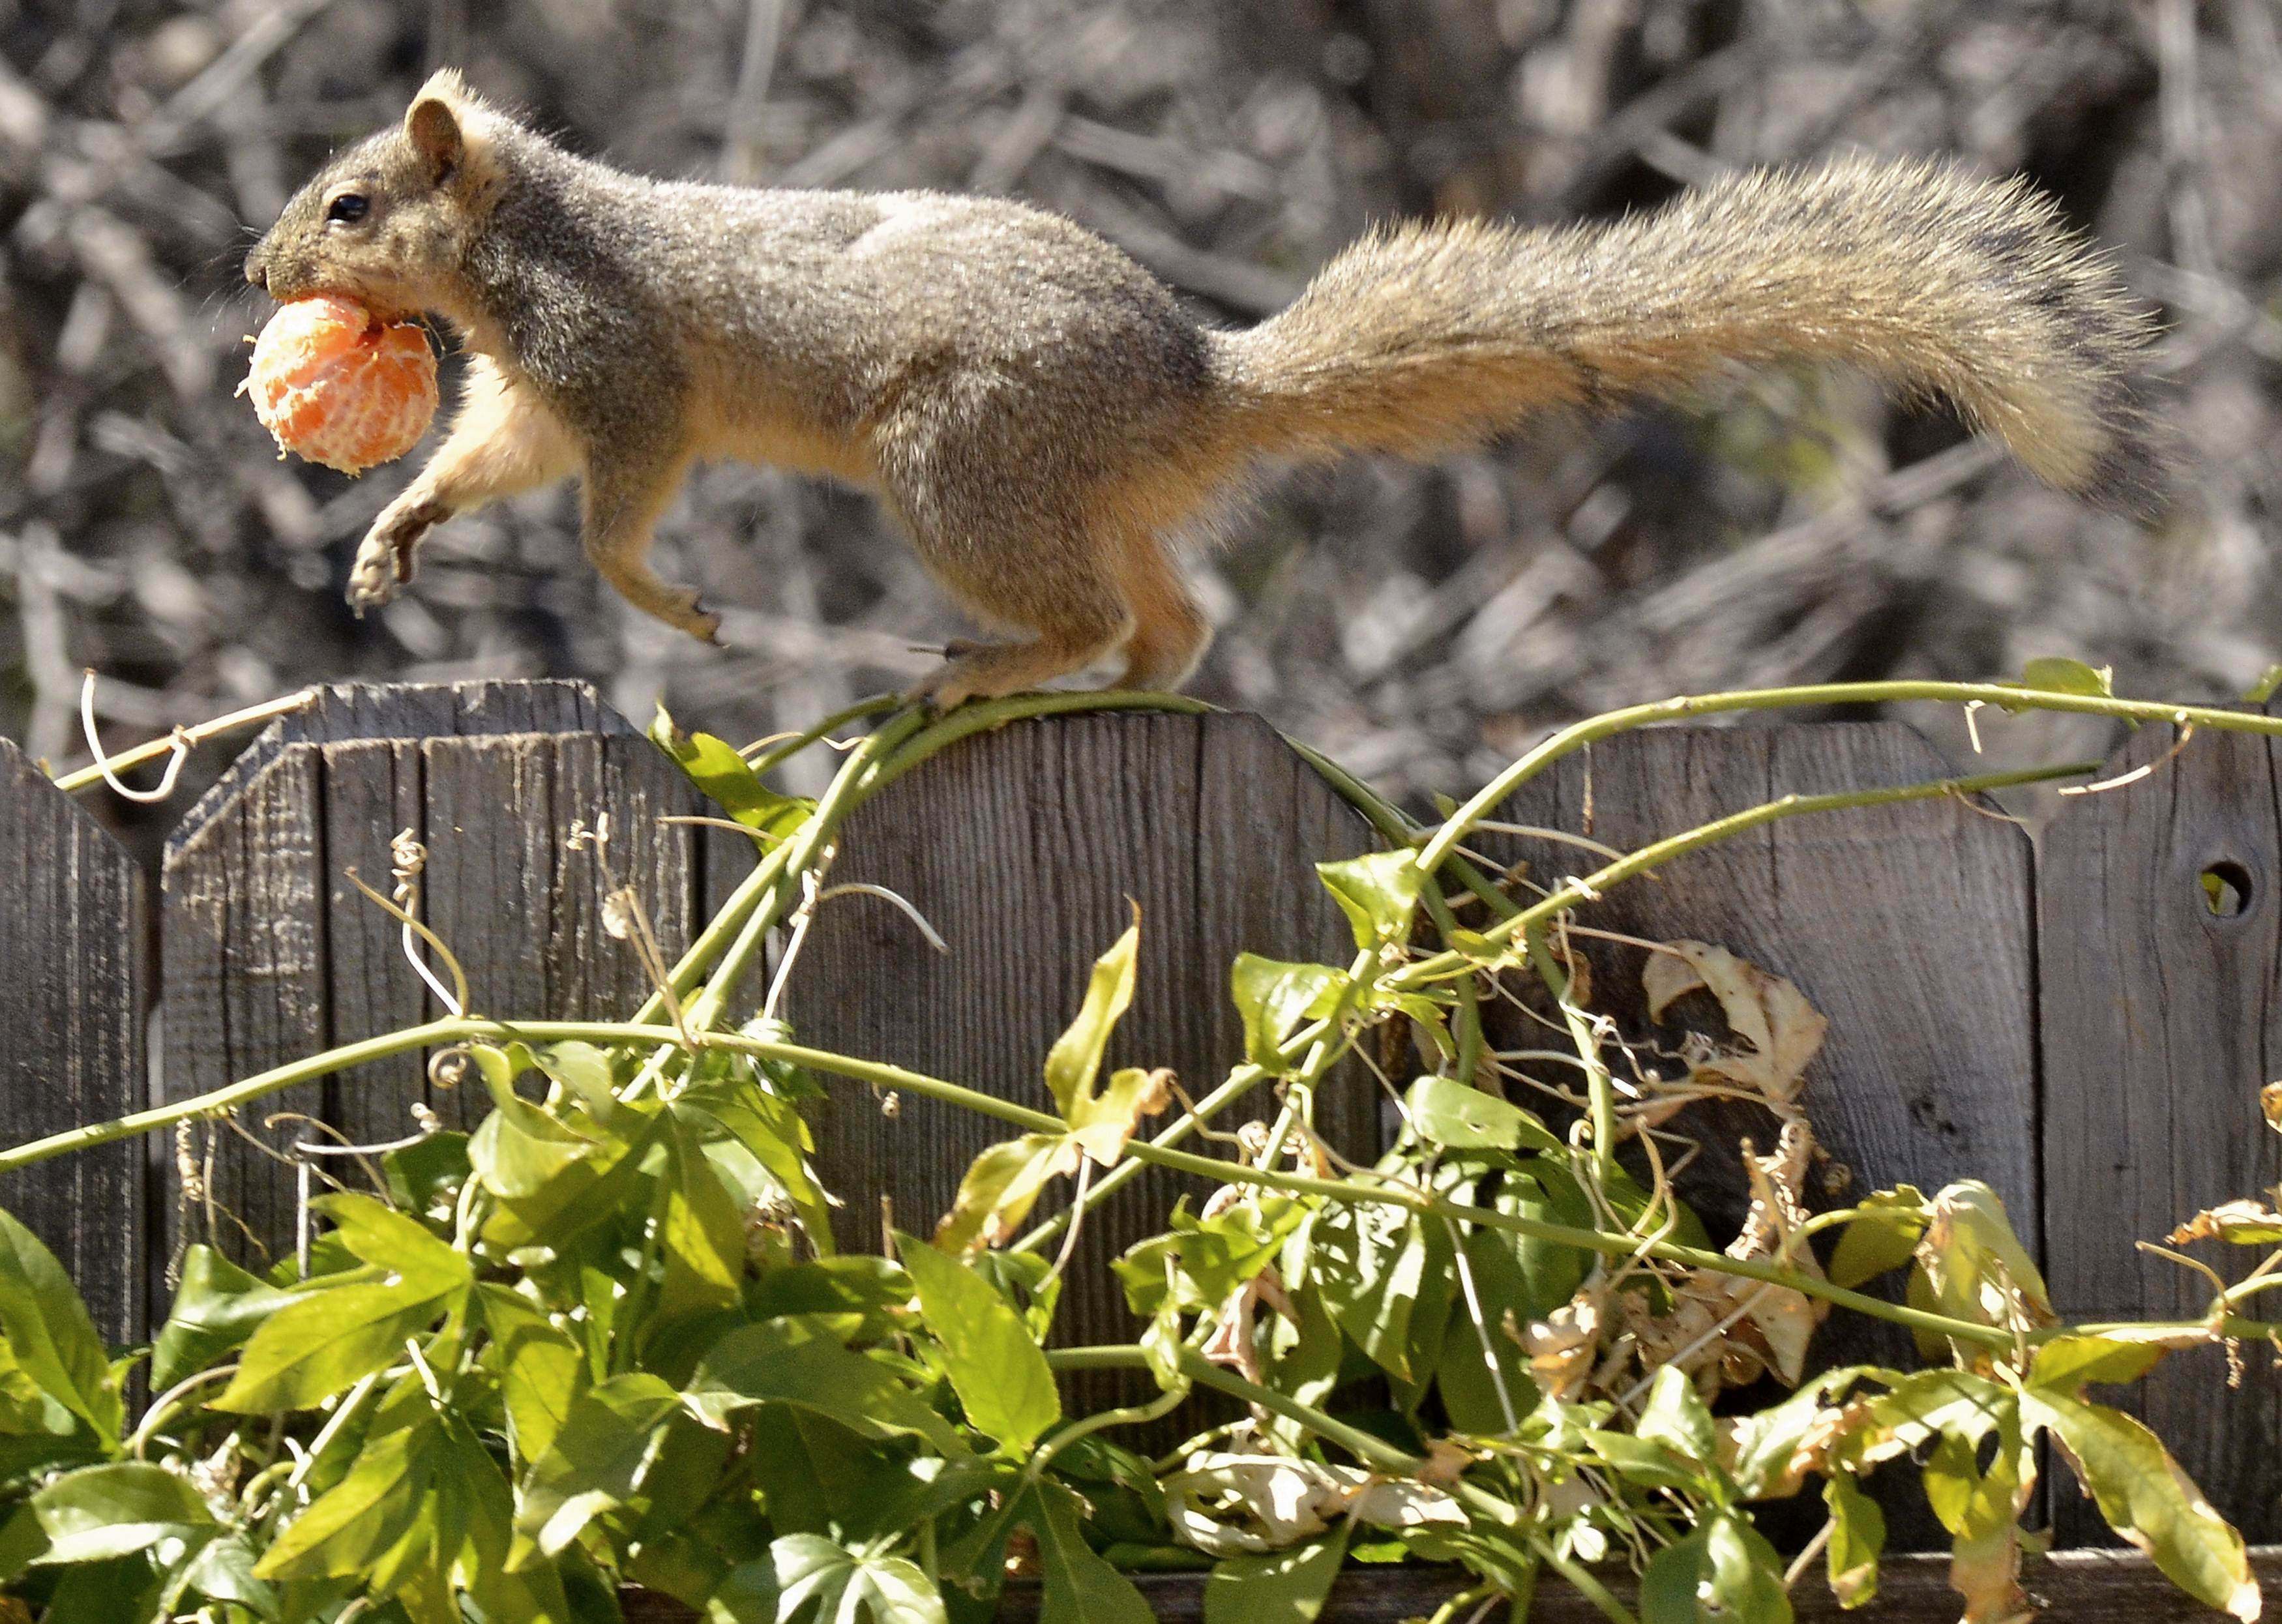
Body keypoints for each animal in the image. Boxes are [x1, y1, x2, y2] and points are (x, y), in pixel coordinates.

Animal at [245, 70, 2154, 702]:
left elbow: (609, 510)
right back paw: (1116, 685)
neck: (528, 229)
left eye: (350, 206)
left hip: (955, 466)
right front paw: (392, 540)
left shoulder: (616, 370)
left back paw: (996, 666)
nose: (261, 277)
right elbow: (488, 460)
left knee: (1094, 610)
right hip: (1079, 497)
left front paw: (671, 603)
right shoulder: (533, 394)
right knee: (1173, 618)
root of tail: (1199, 390)